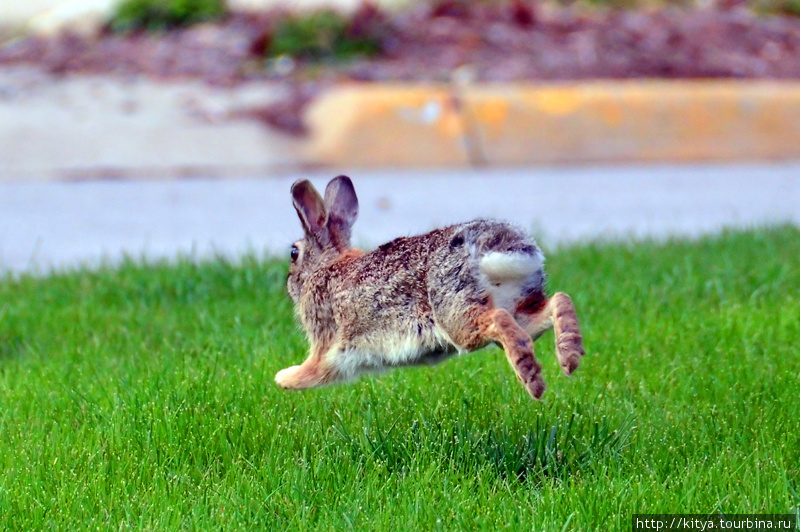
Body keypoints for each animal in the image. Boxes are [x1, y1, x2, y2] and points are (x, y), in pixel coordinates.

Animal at [278, 175, 584, 400]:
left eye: (294, 253)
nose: (289, 285)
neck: (326, 266)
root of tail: (494, 247)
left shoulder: (326, 342)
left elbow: (315, 369)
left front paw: (283, 378)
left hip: (456, 314)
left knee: (497, 320)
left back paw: (532, 380)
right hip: (519, 306)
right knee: (557, 300)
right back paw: (570, 355)